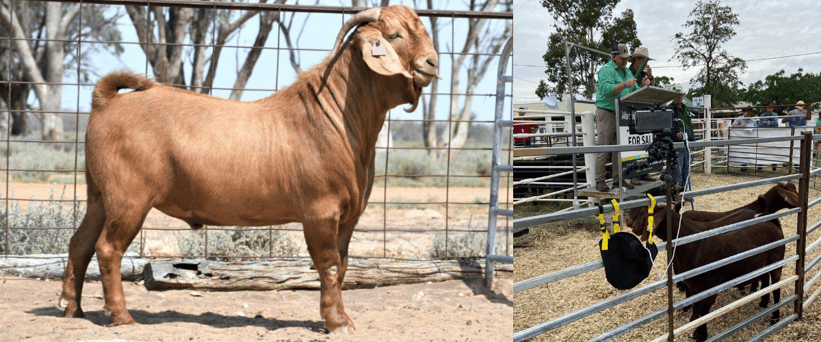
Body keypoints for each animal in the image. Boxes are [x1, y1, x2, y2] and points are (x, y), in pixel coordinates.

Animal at [56, 4, 438, 334]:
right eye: (394, 35)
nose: (432, 62)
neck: (337, 117)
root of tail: (108, 101)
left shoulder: (349, 215)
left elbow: (342, 266)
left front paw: (342, 318)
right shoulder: (320, 210)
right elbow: (328, 264)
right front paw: (337, 322)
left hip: (98, 194)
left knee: (80, 242)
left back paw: (72, 308)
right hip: (129, 197)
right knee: (108, 248)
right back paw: (121, 316)